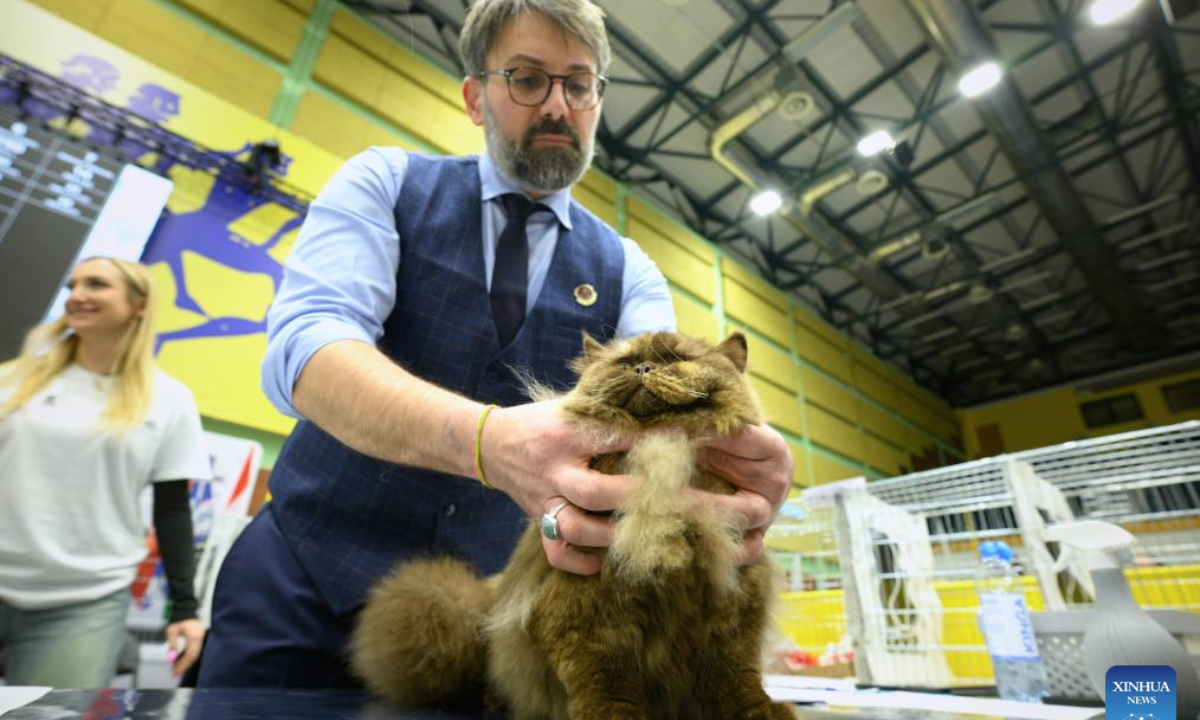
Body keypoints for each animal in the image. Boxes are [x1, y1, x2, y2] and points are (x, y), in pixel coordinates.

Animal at [350, 331, 796, 720]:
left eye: (676, 359)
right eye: (625, 363)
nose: (645, 368)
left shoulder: (734, 604)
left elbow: (736, 680)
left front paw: (765, 712)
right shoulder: (583, 610)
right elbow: (606, 683)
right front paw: (613, 717)